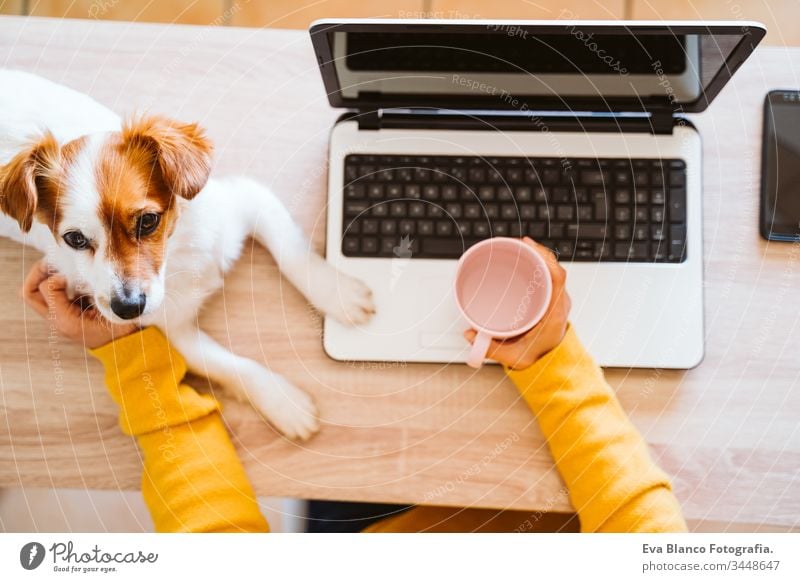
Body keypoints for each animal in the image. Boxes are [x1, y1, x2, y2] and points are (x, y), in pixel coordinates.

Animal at [0, 69, 376, 442]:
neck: (177, 256)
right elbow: (231, 366)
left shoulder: (246, 201)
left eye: (148, 221)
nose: (128, 308)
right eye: (75, 239)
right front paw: (283, 402)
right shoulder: (173, 330)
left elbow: (292, 254)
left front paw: (338, 294)